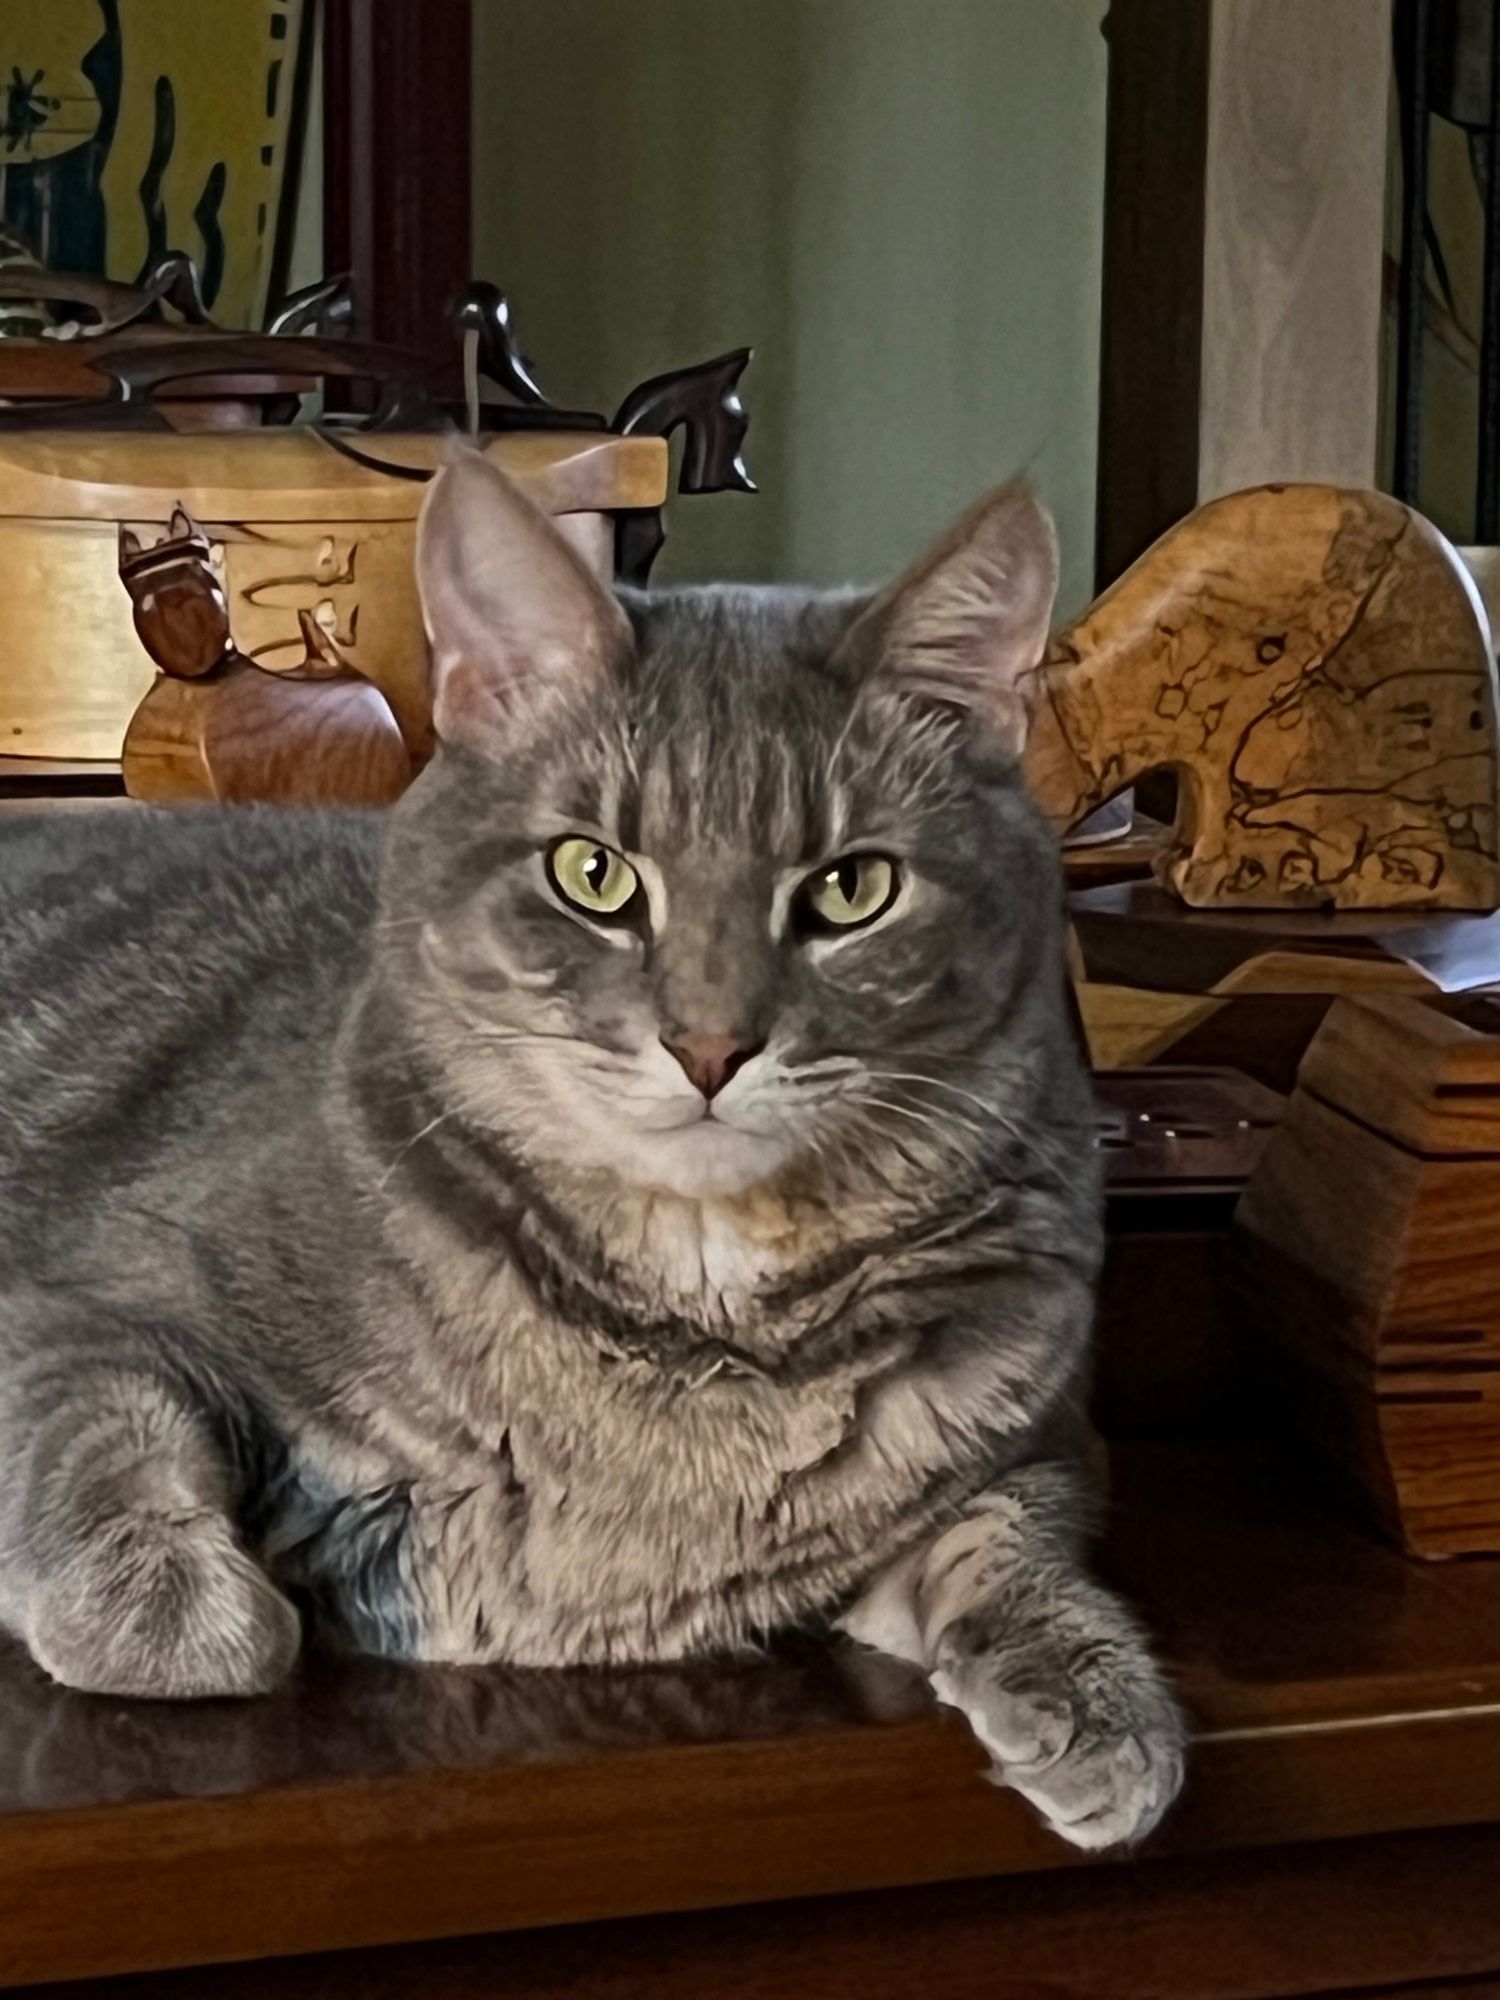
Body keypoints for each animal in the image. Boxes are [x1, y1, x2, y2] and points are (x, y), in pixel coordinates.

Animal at [0, 454, 1184, 1840]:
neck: (695, 1336)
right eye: (594, 874)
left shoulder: (1039, 1437)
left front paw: (1100, 1698)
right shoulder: (90, 1301)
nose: (712, 1046)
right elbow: (112, 1466)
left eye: (851, 889)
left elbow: (1014, 1532)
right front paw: (207, 1610)